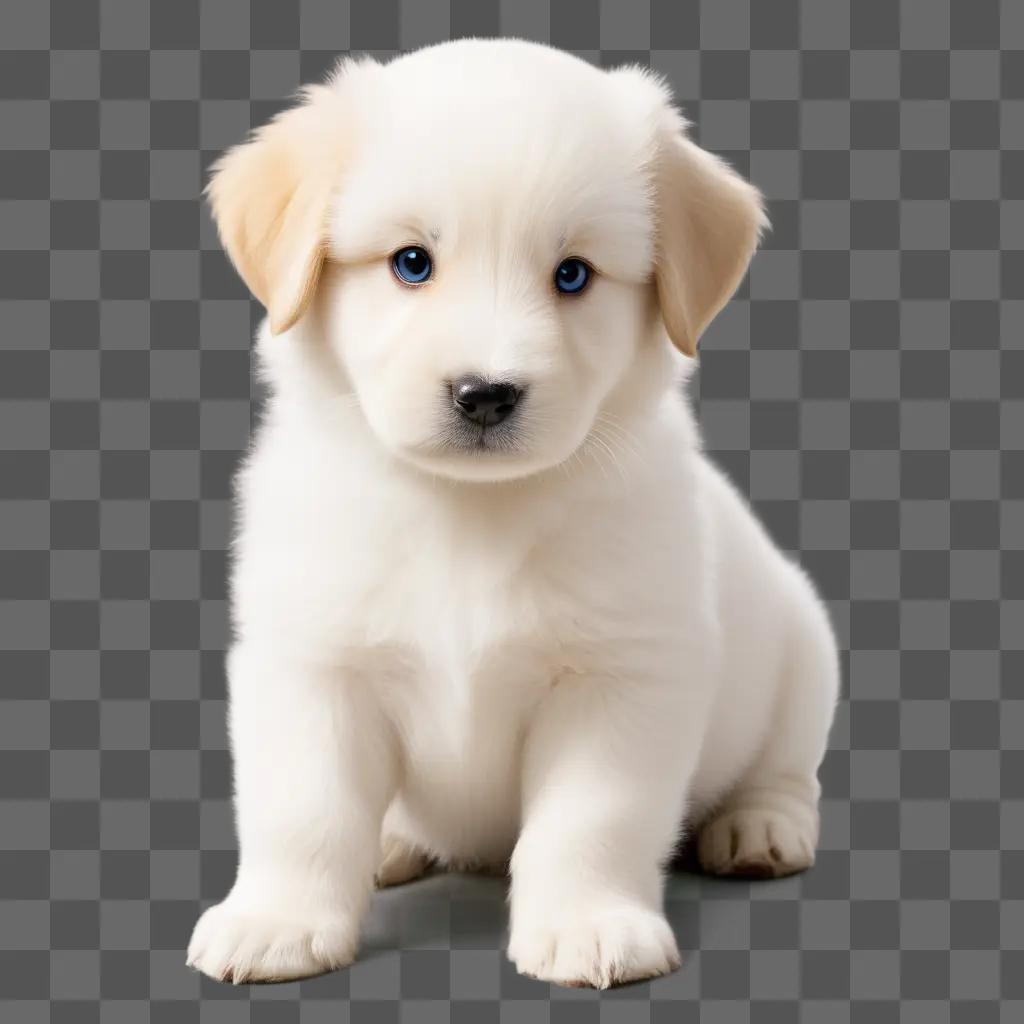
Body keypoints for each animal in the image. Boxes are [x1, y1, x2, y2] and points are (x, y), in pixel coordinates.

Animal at [186, 39, 839, 991]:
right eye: (411, 263)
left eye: (573, 275)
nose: (485, 394)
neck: (468, 511)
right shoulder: (311, 664)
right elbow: (302, 809)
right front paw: (277, 921)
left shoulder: (621, 679)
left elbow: (590, 820)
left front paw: (589, 924)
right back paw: (392, 841)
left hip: (804, 646)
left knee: (787, 767)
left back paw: (759, 826)